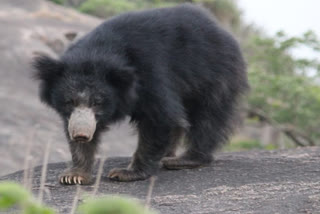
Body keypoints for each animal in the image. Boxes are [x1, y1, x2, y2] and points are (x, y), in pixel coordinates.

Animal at [33, 2, 248, 184]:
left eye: (97, 102)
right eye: (69, 101)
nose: (81, 135)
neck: (97, 52)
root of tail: (223, 31)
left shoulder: (151, 73)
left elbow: (159, 118)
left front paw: (126, 172)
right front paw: (74, 175)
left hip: (213, 75)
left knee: (208, 118)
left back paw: (186, 159)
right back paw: (170, 154)